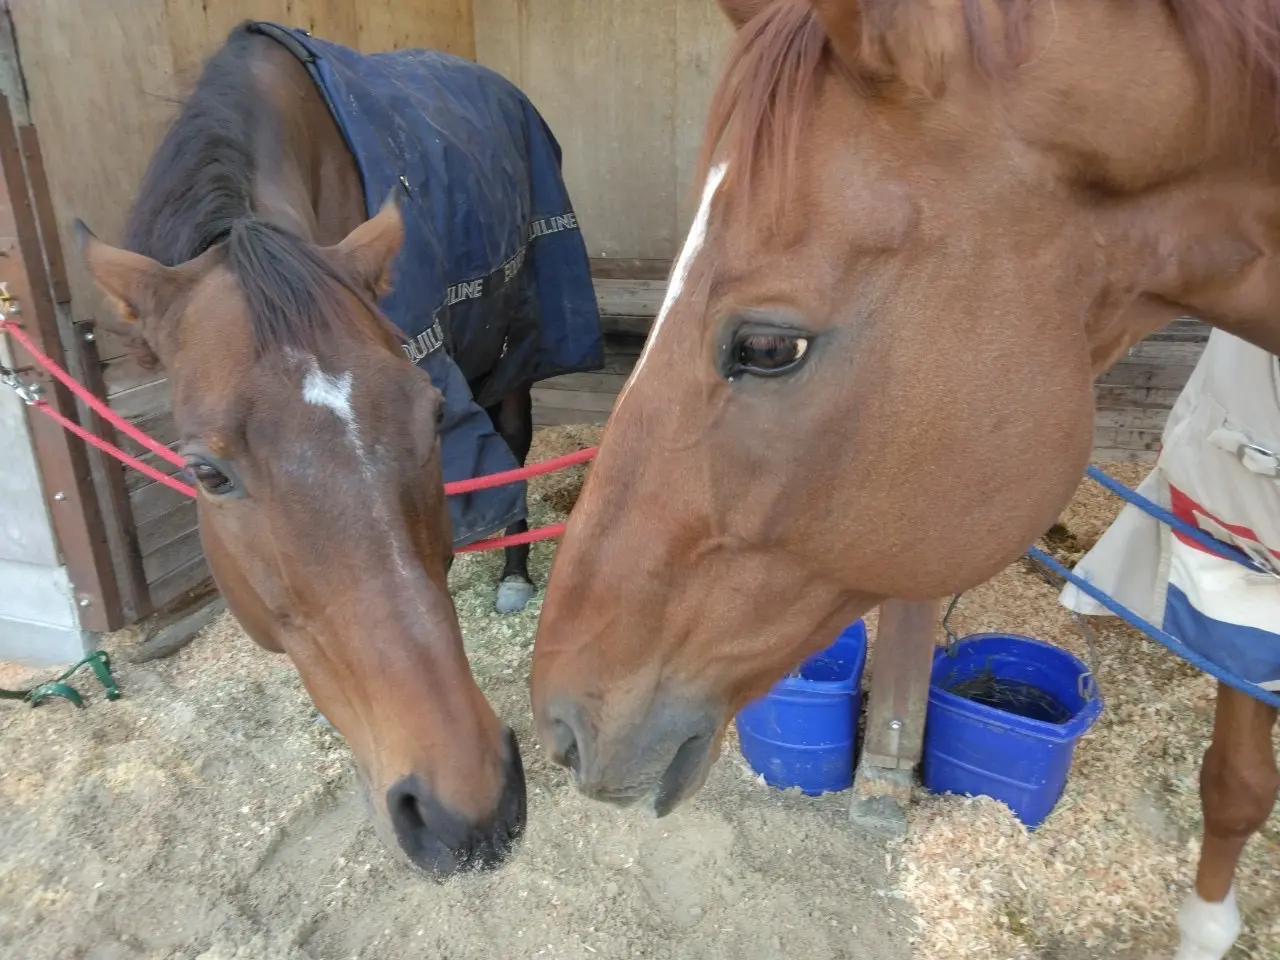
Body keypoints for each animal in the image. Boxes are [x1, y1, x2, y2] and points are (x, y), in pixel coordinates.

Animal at [73, 20, 602, 877]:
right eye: (206, 472)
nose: (467, 810)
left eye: (430, 416)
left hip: (513, 340)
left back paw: (514, 575)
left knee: (515, 442)